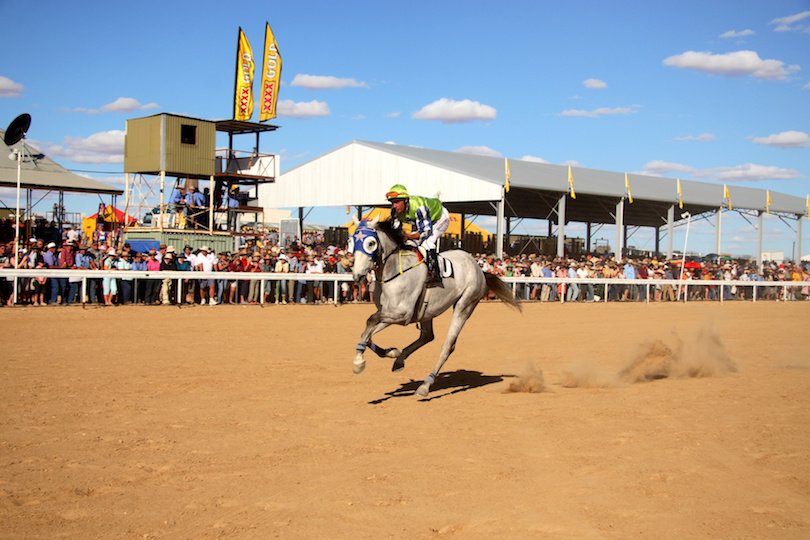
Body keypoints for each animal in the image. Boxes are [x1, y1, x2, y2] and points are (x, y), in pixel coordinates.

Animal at [348, 217, 516, 398]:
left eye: (371, 243)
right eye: (351, 241)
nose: (357, 275)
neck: (394, 272)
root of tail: (479, 268)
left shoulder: (402, 314)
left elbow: (370, 321)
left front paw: (358, 362)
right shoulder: (389, 312)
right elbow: (367, 333)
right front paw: (392, 352)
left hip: (465, 304)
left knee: (448, 345)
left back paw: (425, 385)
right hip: (427, 312)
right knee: (427, 336)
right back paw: (399, 360)